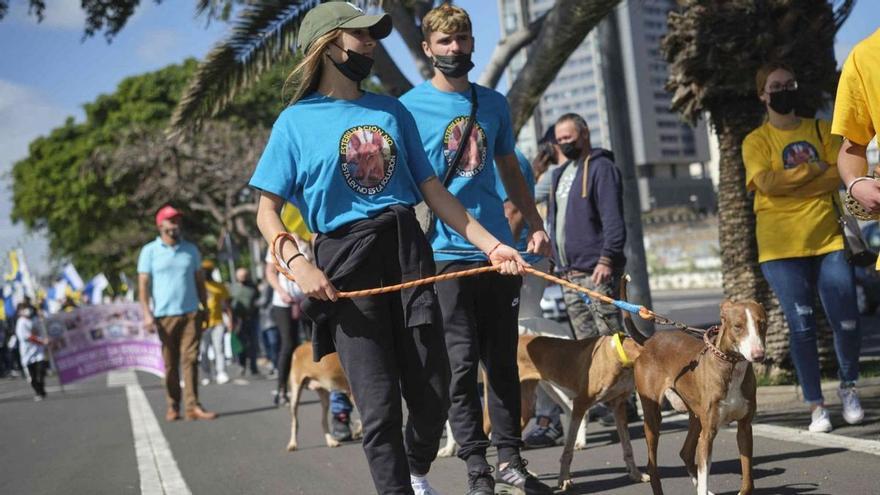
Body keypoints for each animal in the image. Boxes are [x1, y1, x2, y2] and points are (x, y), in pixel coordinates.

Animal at [624, 298, 768, 495]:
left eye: (762, 324)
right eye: (738, 326)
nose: (758, 355)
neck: (730, 366)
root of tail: (649, 341)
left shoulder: (745, 428)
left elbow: (748, 480)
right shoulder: (708, 434)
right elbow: (704, 473)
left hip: (696, 416)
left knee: (685, 452)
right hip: (653, 417)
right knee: (652, 465)